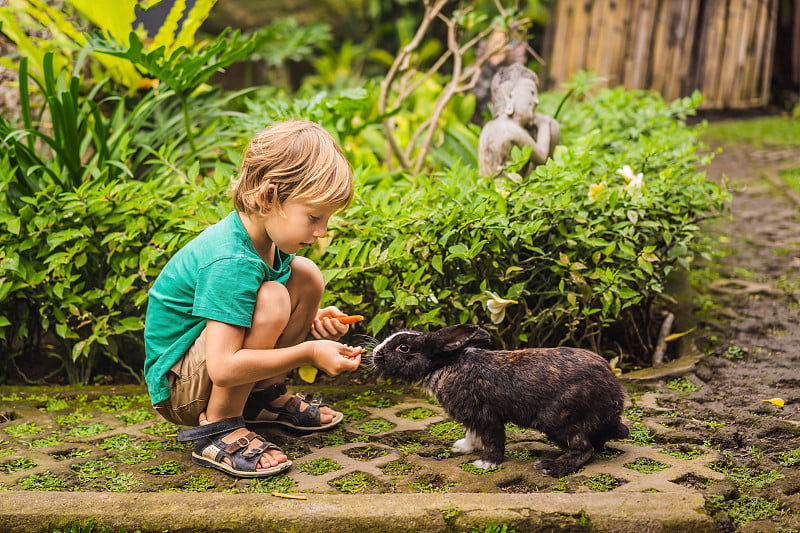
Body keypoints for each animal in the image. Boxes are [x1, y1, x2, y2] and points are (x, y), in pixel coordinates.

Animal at [366, 322, 628, 476]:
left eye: (404, 348)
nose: (375, 354)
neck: (443, 364)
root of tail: (614, 398)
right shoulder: (471, 418)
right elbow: (472, 434)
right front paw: (463, 448)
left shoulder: (486, 415)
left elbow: (493, 439)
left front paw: (487, 463)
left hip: (557, 420)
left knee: (584, 448)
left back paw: (550, 467)